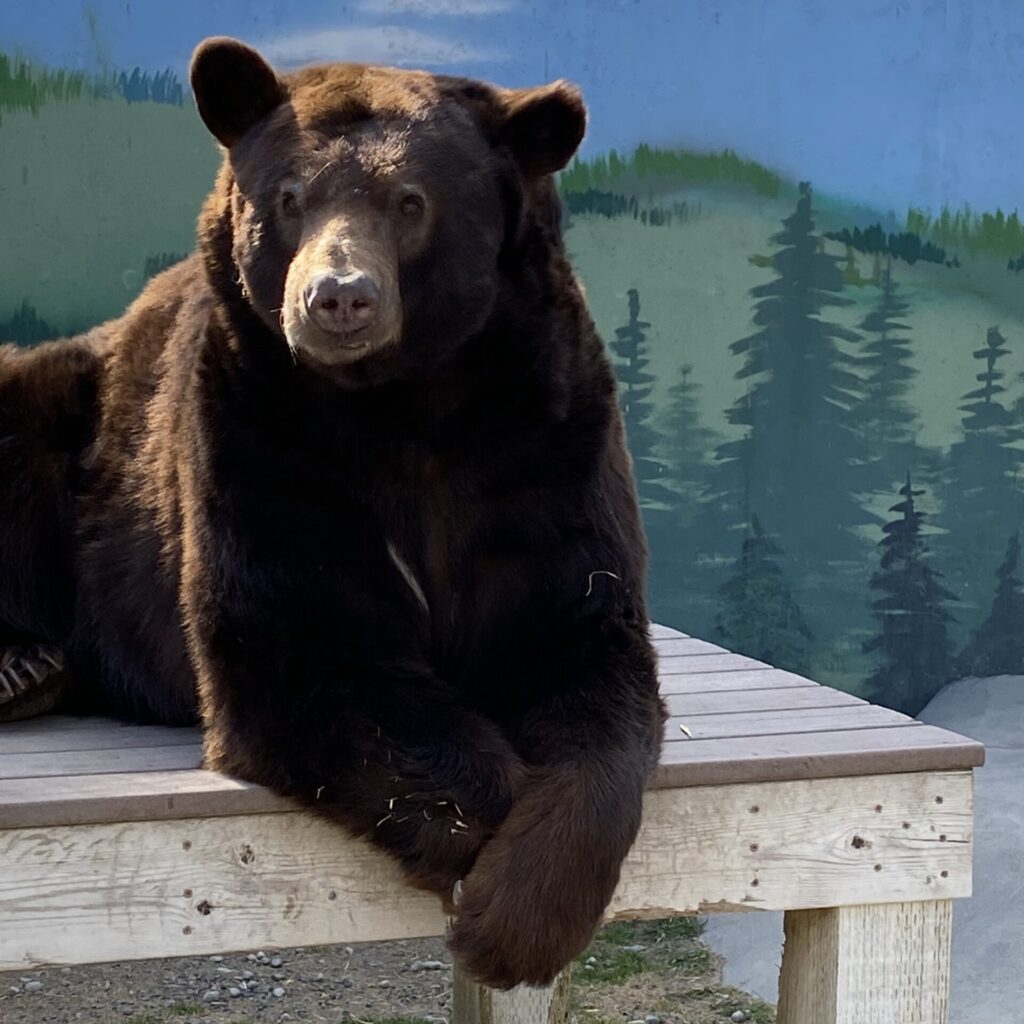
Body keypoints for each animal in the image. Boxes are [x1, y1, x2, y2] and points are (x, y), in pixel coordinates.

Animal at [0, 37, 666, 989]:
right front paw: (483, 862)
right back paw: (18, 665)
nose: (338, 298)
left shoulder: (543, 443)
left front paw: (519, 915)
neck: (400, 404)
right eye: (289, 197)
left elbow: (586, 652)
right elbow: (310, 650)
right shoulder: (260, 436)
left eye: (411, 200)